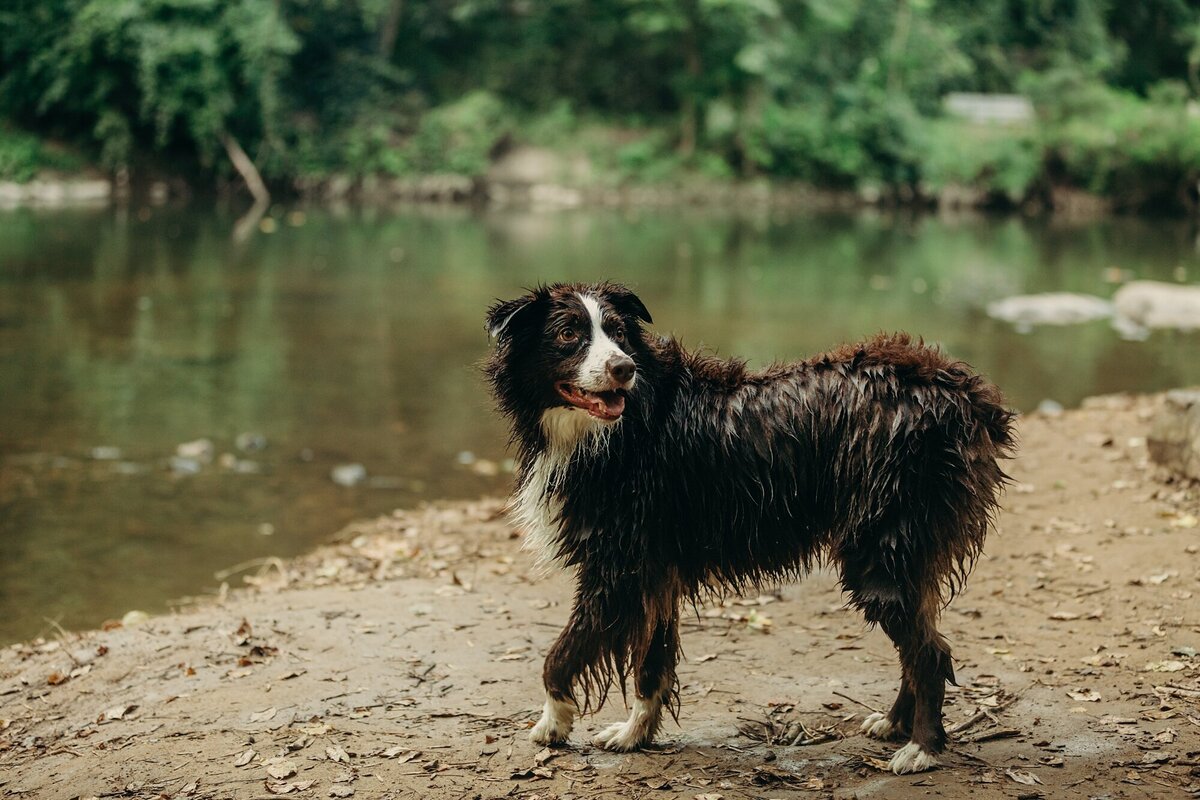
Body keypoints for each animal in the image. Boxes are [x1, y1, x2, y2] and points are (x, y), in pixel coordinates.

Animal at [477, 283, 1012, 777]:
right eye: (569, 334)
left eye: (619, 333)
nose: (623, 368)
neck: (622, 427)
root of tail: (962, 391)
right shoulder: (653, 571)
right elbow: (653, 663)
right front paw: (635, 734)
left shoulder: (616, 571)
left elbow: (560, 654)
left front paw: (552, 724)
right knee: (920, 644)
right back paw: (894, 723)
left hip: (882, 551)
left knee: (929, 652)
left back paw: (922, 748)